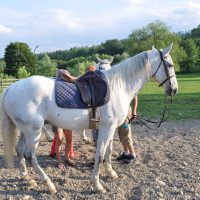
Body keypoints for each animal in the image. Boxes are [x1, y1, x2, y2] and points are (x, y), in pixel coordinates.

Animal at [0, 44, 178, 194]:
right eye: (169, 65)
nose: (174, 89)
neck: (118, 86)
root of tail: (10, 88)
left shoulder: (110, 129)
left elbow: (108, 152)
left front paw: (111, 173)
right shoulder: (106, 129)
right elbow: (100, 154)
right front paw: (97, 185)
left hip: (25, 130)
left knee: (19, 151)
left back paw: (27, 178)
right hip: (33, 131)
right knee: (30, 156)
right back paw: (49, 184)